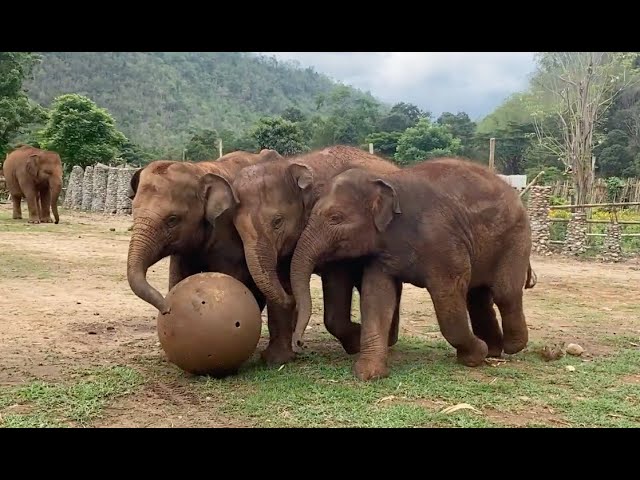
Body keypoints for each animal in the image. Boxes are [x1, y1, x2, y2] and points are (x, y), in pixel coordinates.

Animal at [200, 145, 404, 366]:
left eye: (277, 221)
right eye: (237, 228)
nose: (300, 343)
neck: (292, 164)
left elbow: (336, 275)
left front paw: (355, 344)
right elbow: (280, 273)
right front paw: (276, 360)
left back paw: (389, 341)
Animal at [289, 157, 537, 381]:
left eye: (335, 217)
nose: (298, 343)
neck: (388, 181)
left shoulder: (442, 241)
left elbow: (447, 294)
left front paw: (474, 356)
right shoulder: (381, 251)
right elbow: (376, 296)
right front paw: (368, 374)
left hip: (516, 238)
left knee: (505, 293)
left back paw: (512, 346)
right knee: (478, 298)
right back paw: (494, 350)